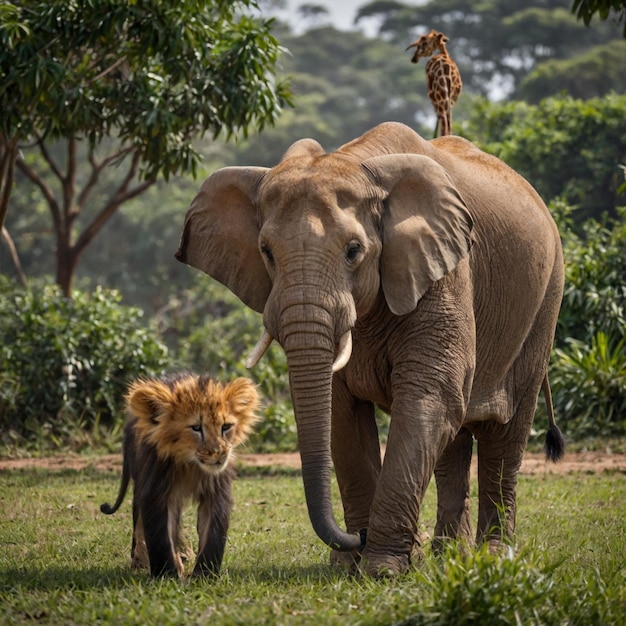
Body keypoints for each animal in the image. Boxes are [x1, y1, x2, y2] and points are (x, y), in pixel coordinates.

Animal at [173, 122, 564, 576]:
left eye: (353, 251)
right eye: (266, 252)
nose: (353, 537)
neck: (358, 162)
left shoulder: (443, 272)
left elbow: (428, 399)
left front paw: (382, 568)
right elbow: (341, 414)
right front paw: (351, 566)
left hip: (546, 298)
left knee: (507, 430)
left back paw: (493, 555)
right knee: (454, 439)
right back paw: (449, 556)